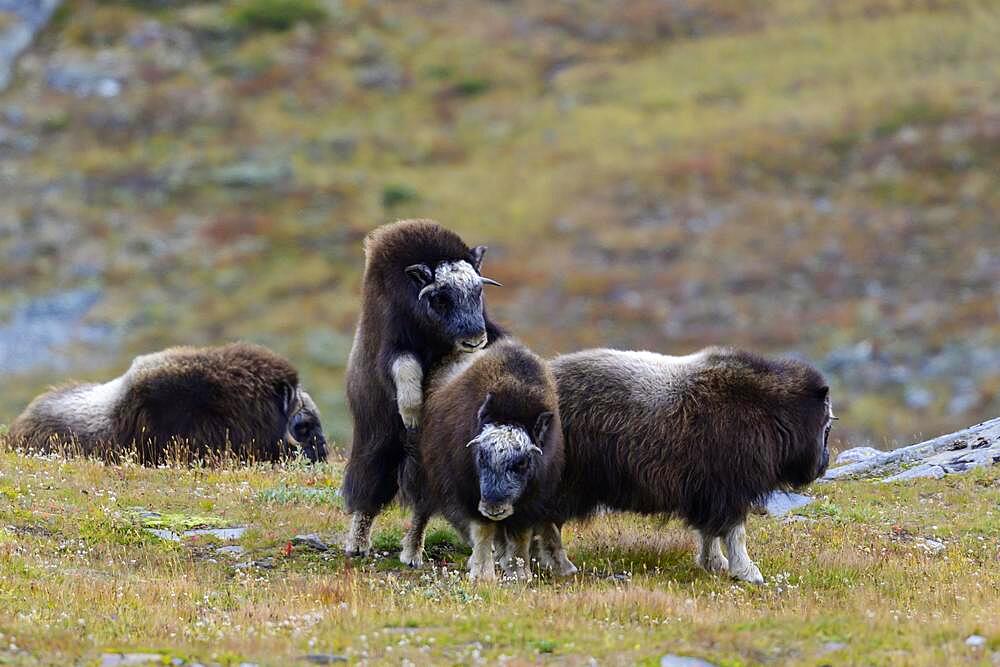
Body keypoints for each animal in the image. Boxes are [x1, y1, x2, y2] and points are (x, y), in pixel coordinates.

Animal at [344, 220, 504, 560]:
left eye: (478, 291)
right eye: (441, 298)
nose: (475, 340)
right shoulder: (394, 341)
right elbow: (404, 367)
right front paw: (413, 413)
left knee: (423, 503)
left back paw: (414, 552)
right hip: (377, 444)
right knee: (369, 490)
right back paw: (358, 544)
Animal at [400, 342, 572, 580]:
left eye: (522, 463)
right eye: (480, 455)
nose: (494, 507)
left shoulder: (532, 500)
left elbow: (520, 536)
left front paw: (520, 573)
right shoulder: (470, 493)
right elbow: (483, 529)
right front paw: (482, 575)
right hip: (425, 473)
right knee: (422, 510)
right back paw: (412, 555)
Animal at [536, 348, 832, 580]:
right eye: (826, 425)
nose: (824, 464)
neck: (772, 411)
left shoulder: (709, 494)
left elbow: (710, 533)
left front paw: (716, 564)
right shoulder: (730, 491)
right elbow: (735, 533)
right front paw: (748, 573)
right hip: (565, 485)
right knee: (548, 523)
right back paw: (562, 566)